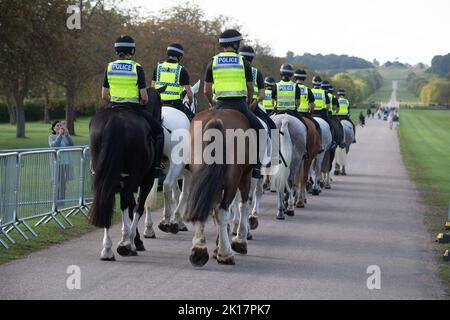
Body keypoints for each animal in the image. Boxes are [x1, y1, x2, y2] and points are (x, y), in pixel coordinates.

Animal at [88, 87, 163, 260]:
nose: (161, 119)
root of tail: (114, 122)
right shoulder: (146, 180)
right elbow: (137, 207)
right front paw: (133, 242)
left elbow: (130, 207)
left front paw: (133, 239)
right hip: (136, 176)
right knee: (124, 201)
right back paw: (124, 244)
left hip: (104, 176)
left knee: (106, 199)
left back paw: (107, 250)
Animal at [144, 81, 200, 239]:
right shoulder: (187, 172)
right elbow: (183, 195)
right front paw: (176, 221)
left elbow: (176, 194)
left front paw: (176, 220)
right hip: (176, 164)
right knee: (166, 186)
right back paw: (166, 222)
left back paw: (149, 228)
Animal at [183, 109, 262, 266]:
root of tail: (216, 119)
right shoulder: (246, 176)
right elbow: (244, 205)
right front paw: (239, 241)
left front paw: (216, 246)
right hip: (233, 180)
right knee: (223, 210)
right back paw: (226, 254)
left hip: (201, 176)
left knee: (202, 205)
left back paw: (199, 250)